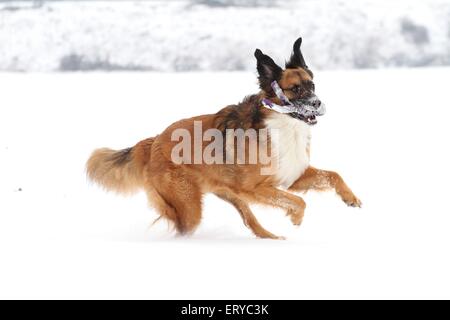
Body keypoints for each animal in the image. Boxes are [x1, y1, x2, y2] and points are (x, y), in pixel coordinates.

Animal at [87, 36, 362, 239]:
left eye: (312, 85)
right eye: (294, 89)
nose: (317, 104)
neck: (283, 123)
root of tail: (153, 142)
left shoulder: (292, 176)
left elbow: (333, 175)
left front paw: (351, 198)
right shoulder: (257, 188)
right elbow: (299, 201)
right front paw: (296, 218)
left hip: (230, 194)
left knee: (250, 222)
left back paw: (272, 238)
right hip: (190, 204)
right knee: (183, 227)